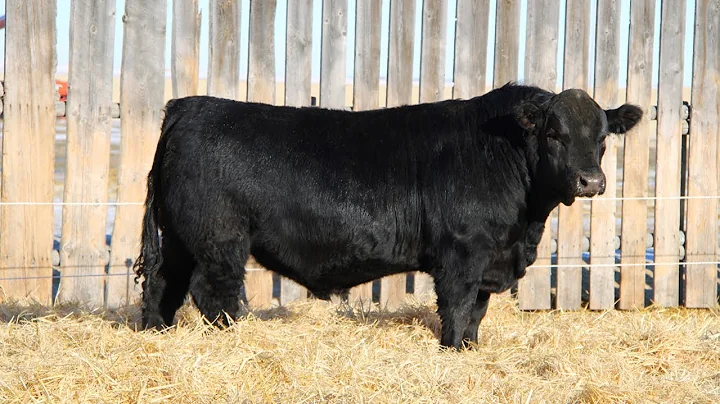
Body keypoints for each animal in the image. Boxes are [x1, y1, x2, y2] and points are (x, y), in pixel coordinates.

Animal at [133, 82, 642, 350]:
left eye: (603, 137)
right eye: (554, 133)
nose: (590, 181)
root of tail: (189, 106)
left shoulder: (489, 258)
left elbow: (478, 311)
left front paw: (471, 349)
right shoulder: (462, 253)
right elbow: (458, 306)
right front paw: (452, 350)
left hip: (179, 237)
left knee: (163, 285)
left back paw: (155, 336)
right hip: (219, 239)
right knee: (212, 292)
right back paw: (232, 339)